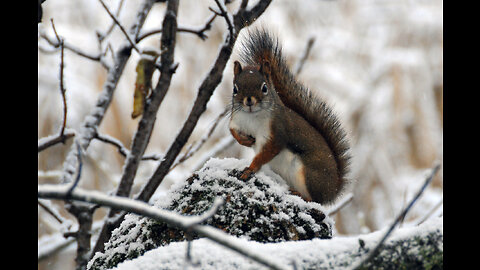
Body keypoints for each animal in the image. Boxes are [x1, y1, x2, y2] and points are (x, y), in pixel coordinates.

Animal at [227, 28, 350, 205]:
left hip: (307, 174)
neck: (252, 117)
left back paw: (300, 194)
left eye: (264, 87)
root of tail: (332, 191)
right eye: (235, 88)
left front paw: (250, 168)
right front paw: (245, 141)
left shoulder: (276, 131)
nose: (249, 101)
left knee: (314, 199)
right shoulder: (236, 120)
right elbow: (232, 131)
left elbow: (268, 151)